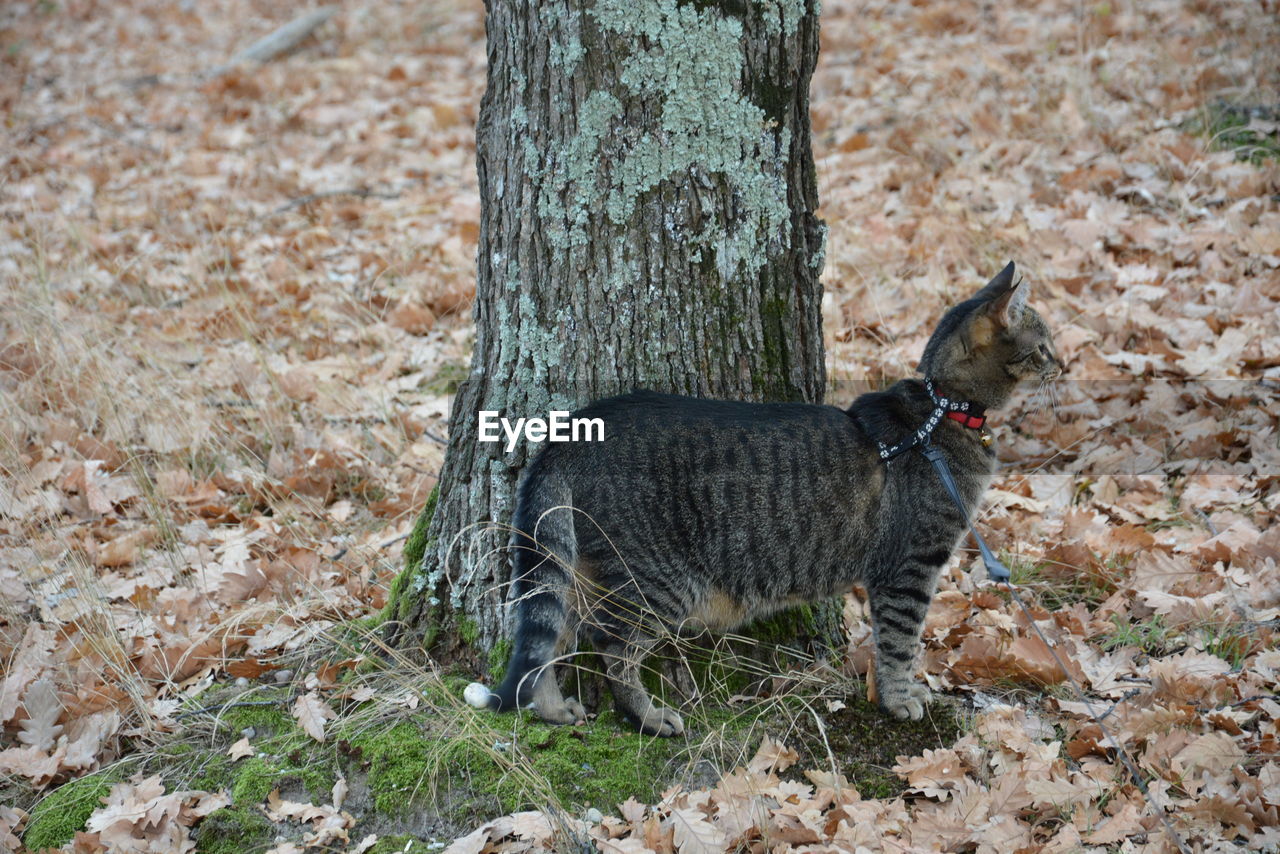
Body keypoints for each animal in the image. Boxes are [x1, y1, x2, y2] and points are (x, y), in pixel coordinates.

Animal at [463, 263, 1059, 737]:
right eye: (1044, 343)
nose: (1064, 362)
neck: (943, 411)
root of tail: (574, 430)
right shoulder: (909, 567)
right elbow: (900, 642)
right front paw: (899, 699)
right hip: (658, 582)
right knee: (608, 644)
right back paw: (647, 717)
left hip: (576, 565)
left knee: (552, 631)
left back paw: (551, 709)